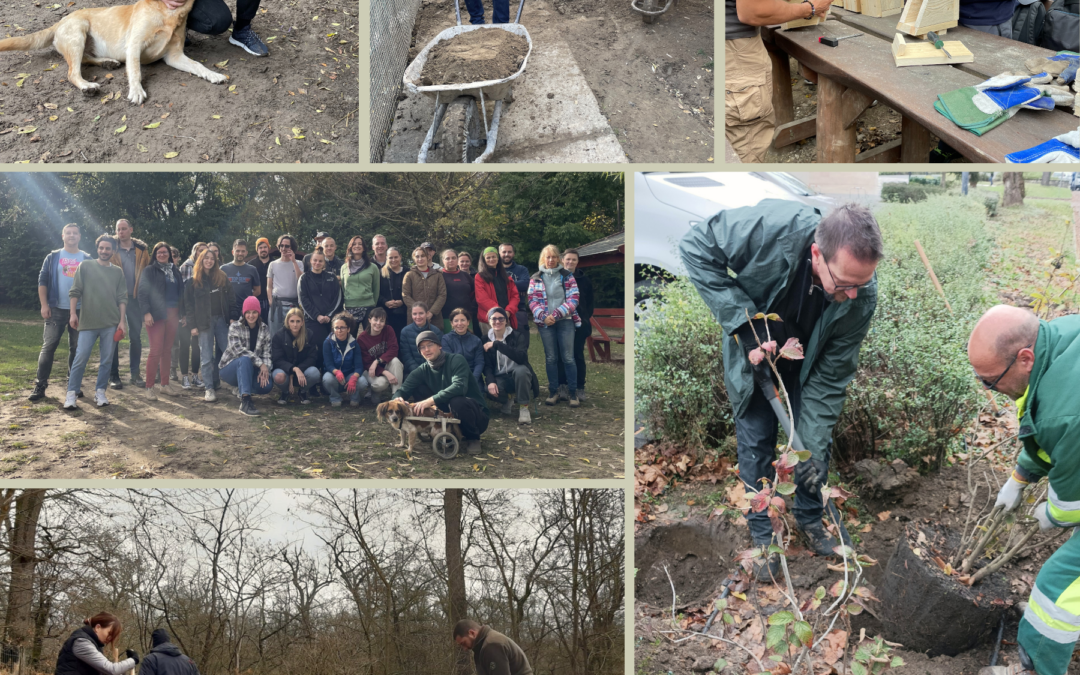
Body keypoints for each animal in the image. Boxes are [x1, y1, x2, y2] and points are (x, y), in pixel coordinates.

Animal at [0, 0, 225, 104]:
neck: (168, 12)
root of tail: (59, 22)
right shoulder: (134, 45)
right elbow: (135, 71)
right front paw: (136, 91)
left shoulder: (174, 56)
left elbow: (198, 65)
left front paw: (213, 74)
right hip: (79, 31)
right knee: (73, 72)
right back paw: (87, 85)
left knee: (86, 60)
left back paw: (107, 62)